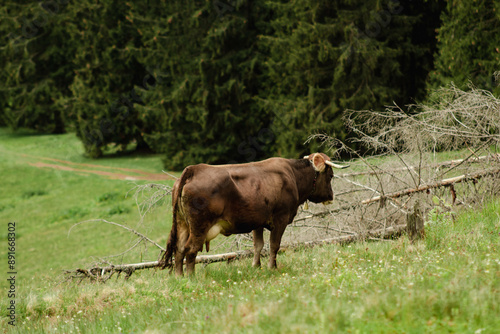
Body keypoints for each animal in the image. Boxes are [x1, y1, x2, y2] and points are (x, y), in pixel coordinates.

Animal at [160, 153, 348, 276]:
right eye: (331, 175)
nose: (331, 196)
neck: (292, 175)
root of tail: (194, 169)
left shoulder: (258, 222)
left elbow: (258, 245)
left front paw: (256, 266)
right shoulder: (280, 219)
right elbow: (274, 245)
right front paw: (273, 268)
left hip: (182, 224)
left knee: (179, 249)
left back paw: (179, 277)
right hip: (199, 227)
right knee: (190, 250)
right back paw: (191, 278)